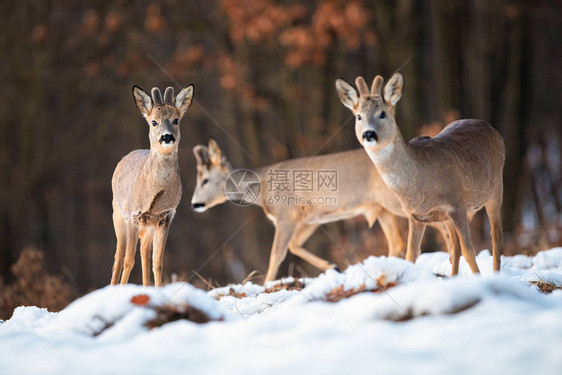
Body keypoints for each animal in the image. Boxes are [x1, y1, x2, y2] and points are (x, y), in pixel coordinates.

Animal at [110, 83, 194, 286]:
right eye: (154, 122)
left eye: (176, 120)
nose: (167, 137)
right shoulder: (133, 214)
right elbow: (128, 260)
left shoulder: (166, 216)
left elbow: (158, 262)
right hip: (118, 214)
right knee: (119, 256)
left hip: (147, 226)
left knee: (144, 254)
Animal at [190, 138, 448, 282]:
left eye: (204, 180)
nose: (194, 203)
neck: (260, 189)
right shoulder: (308, 219)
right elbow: (294, 246)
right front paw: (332, 266)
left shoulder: (286, 216)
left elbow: (276, 255)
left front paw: (265, 287)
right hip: (382, 209)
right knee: (397, 241)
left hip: (396, 202)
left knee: (438, 221)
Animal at [332, 72, 504, 276]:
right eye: (358, 116)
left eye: (382, 113)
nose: (368, 134)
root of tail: (492, 129)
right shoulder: (416, 216)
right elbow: (411, 255)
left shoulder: (457, 204)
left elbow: (470, 251)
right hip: (448, 216)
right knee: (454, 247)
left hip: (496, 188)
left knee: (496, 236)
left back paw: (496, 273)